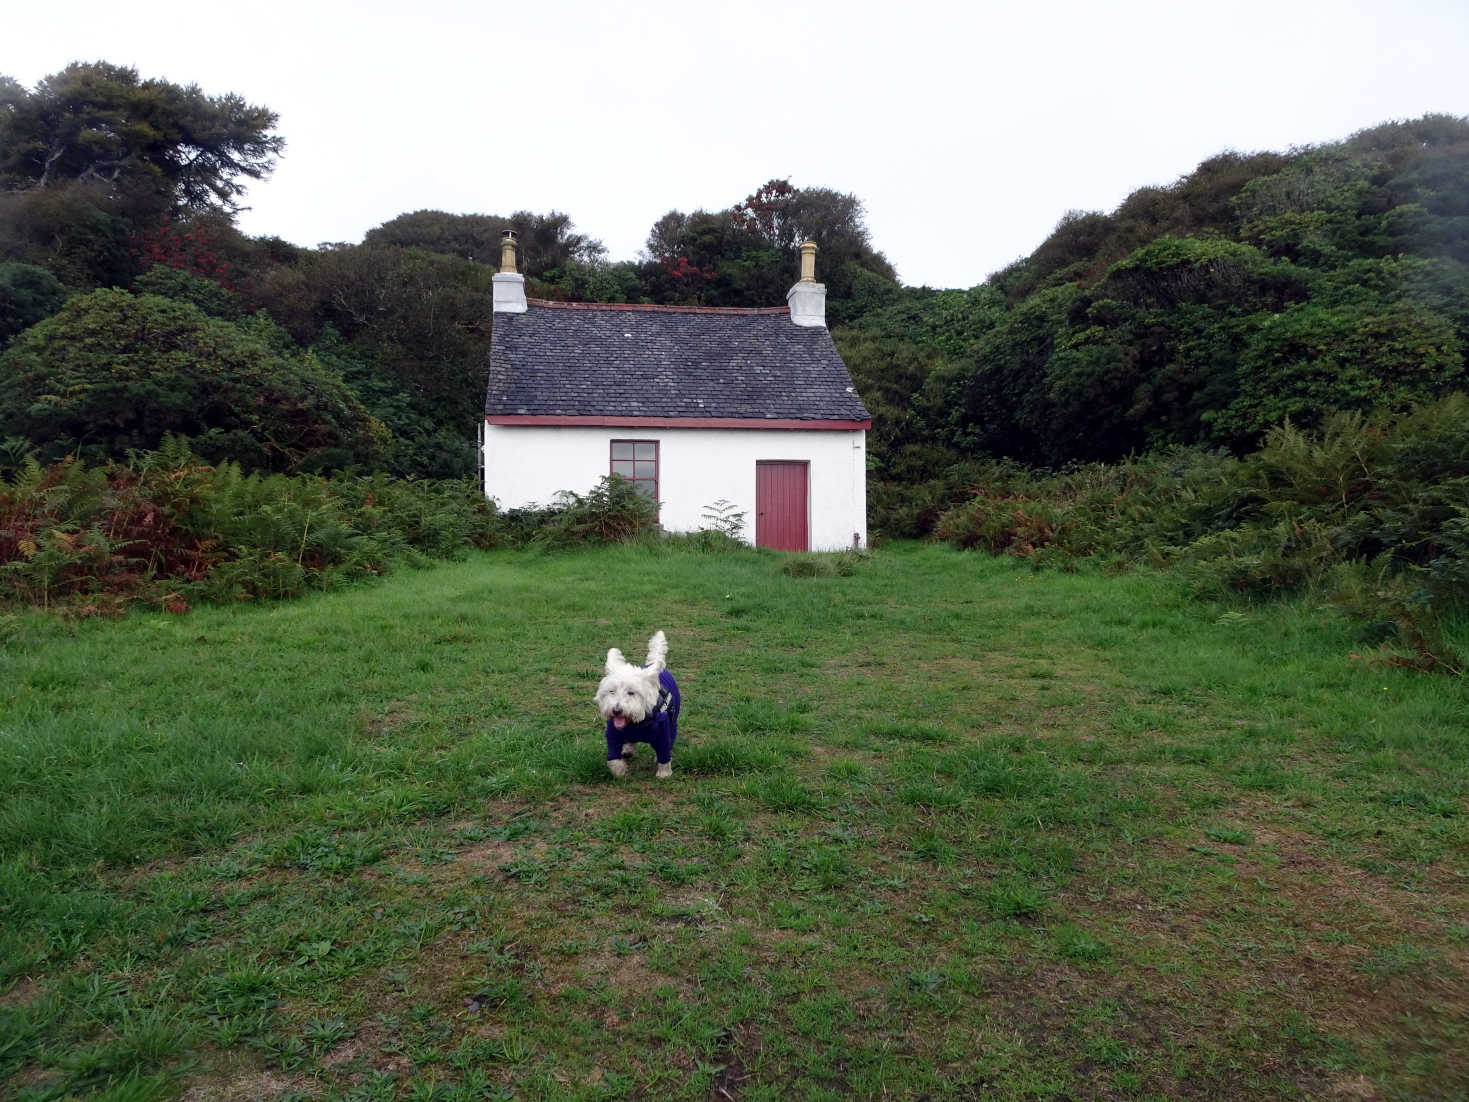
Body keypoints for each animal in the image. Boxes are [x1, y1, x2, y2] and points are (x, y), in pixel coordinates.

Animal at [596, 634, 681, 781]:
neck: (635, 725)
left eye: (631, 692)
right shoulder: (613, 735)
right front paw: (620, 772)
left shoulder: (662, 732)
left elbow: (664, 753)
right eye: (611, 691)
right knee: (630, 742)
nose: (616, 711)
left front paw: (664, 773)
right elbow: (613, 760)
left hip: (673, 722)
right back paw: (627, 750)